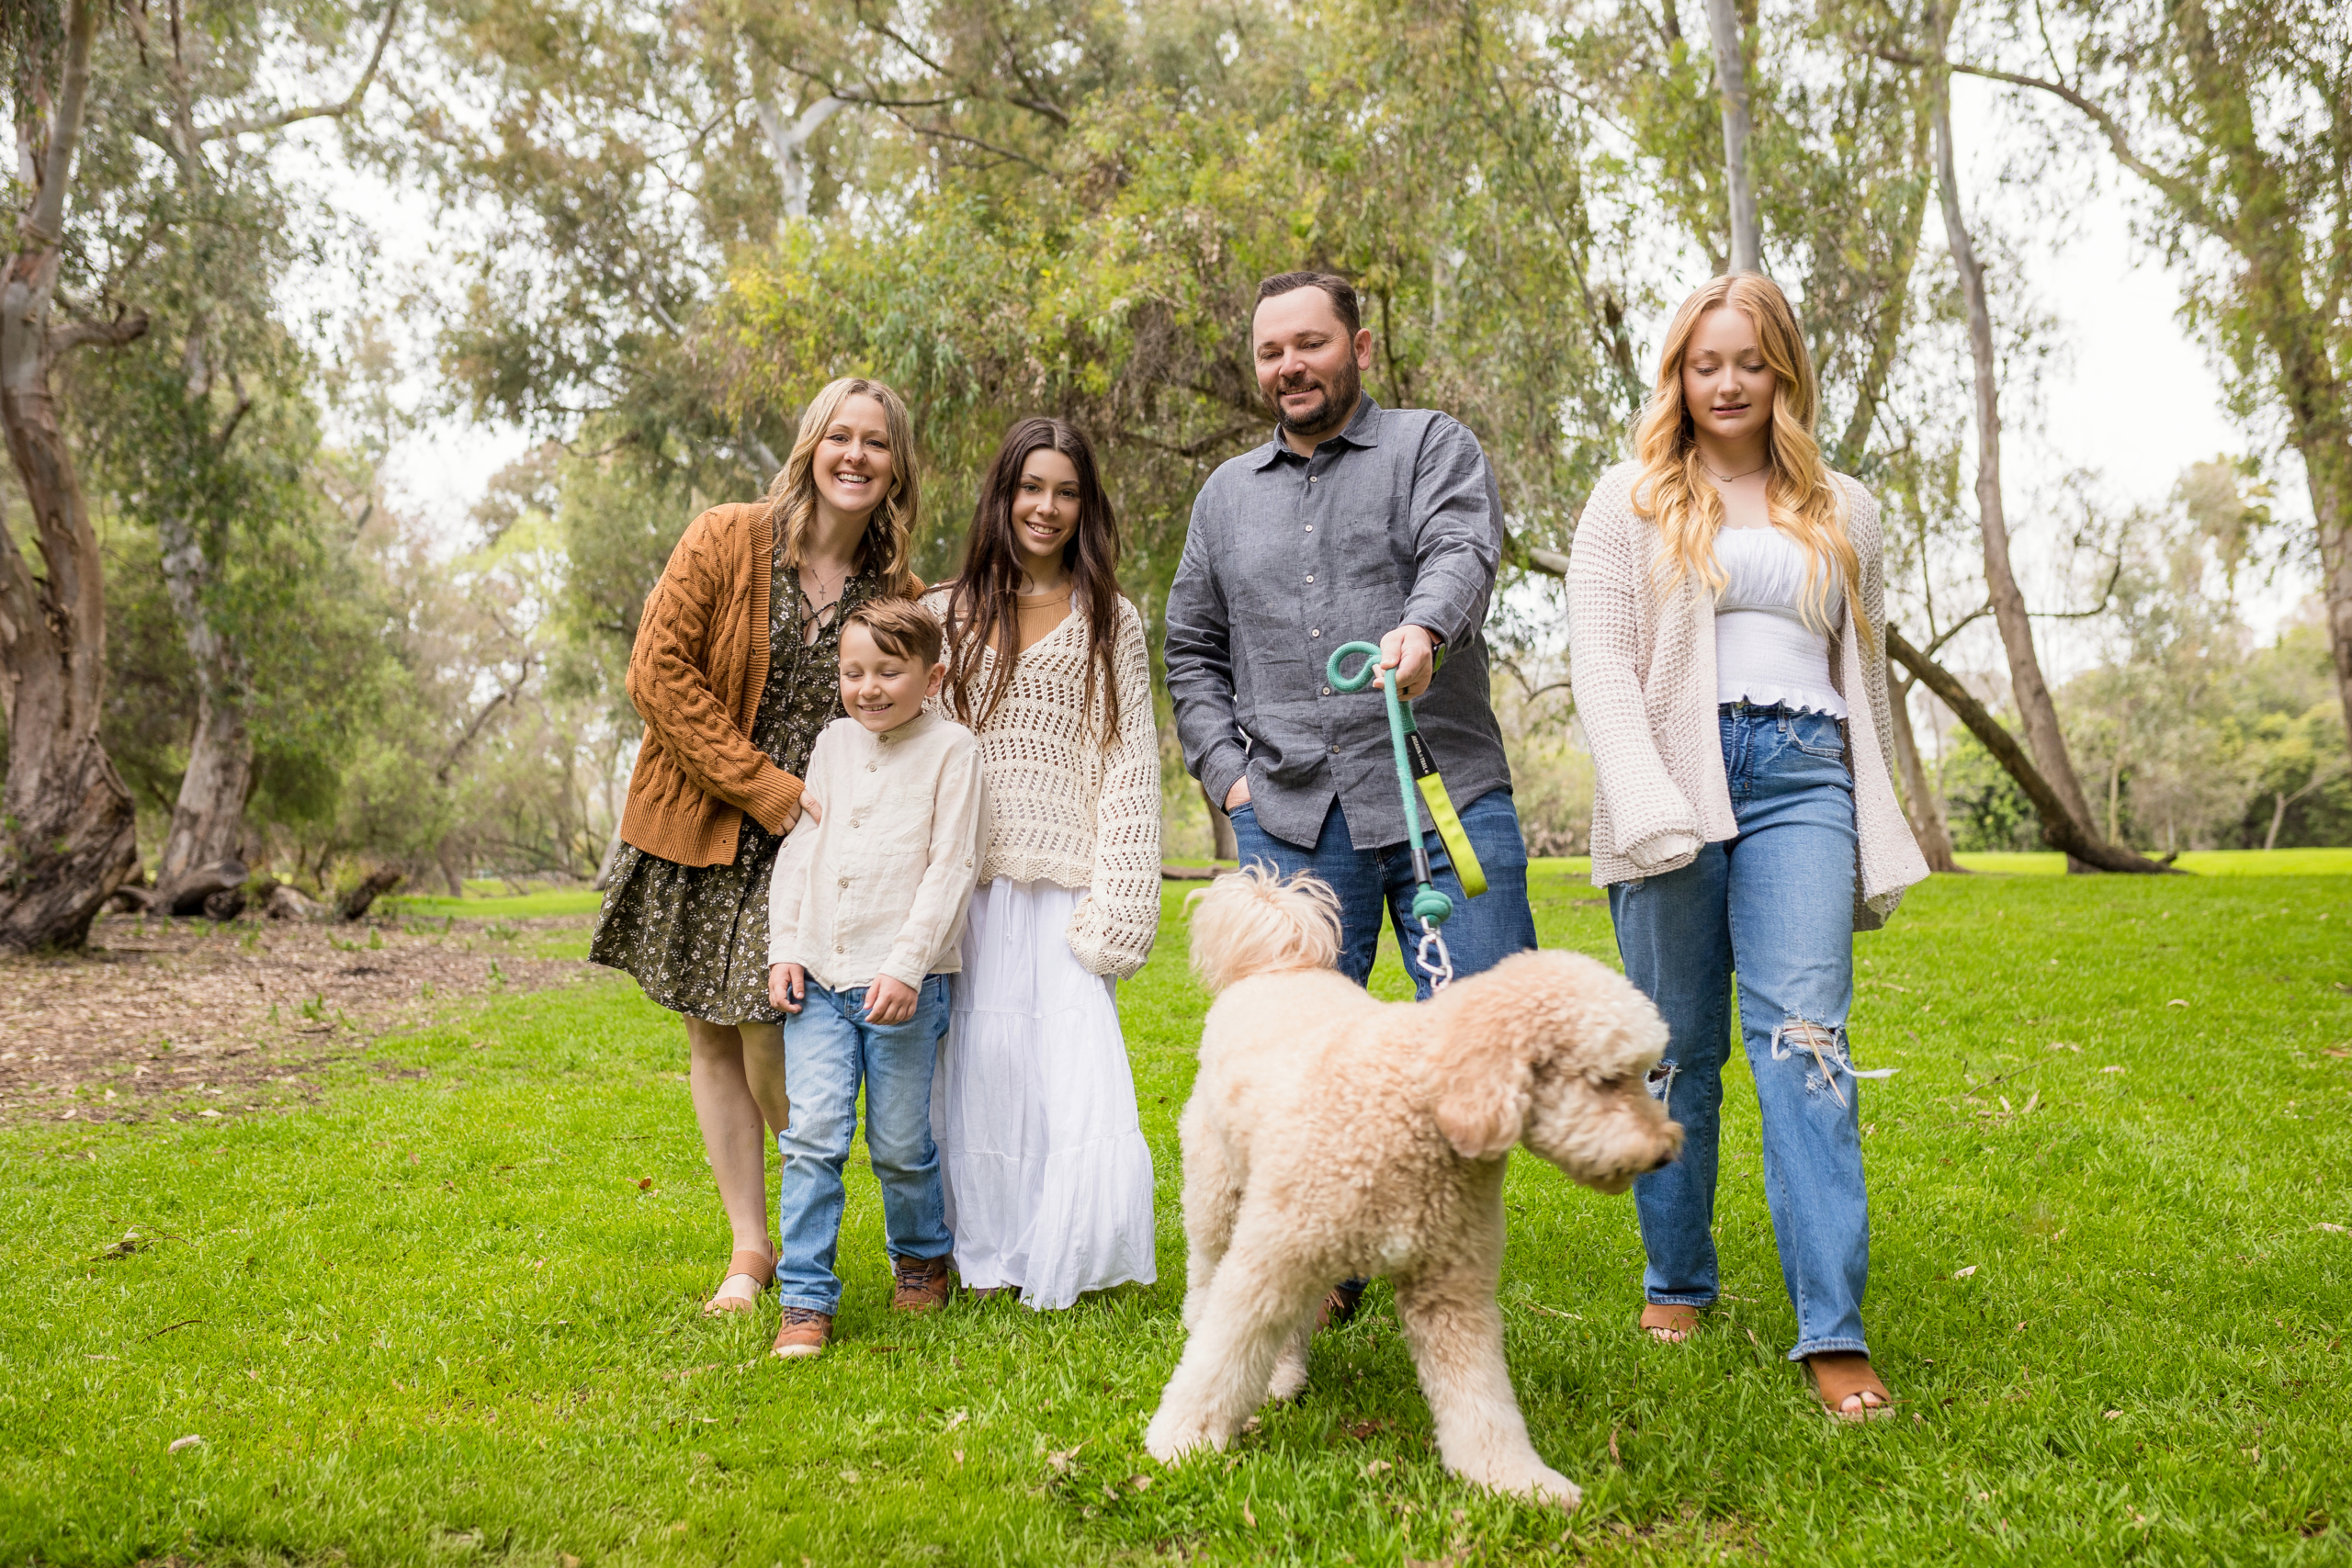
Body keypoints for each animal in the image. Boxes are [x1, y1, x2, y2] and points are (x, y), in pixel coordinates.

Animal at [1148, 869, 1683, 1504]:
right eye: (1606, 1079)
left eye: (1647, 1073)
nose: (1666, 1149)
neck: (1417, 1106)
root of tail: (1280, 960)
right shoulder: (1268, 1265)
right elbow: (1221, 1358)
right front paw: (1181, 1441)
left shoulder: (1451, 1293)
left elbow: (1482, 1399)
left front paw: (1513, 1478)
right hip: (1221, 1192)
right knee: (1207, 1274)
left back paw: (1284, 1374)